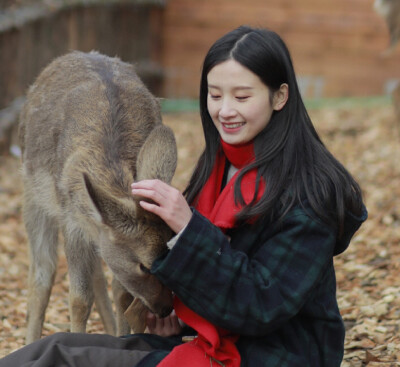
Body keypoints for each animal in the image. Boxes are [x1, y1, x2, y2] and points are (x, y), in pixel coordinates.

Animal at [18, 51, 176, 344]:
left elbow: (122, 294)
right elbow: (79, 299)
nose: (165, 308)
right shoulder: (72, 222)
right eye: (144, 266)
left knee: (98, 276)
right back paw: (30, 341)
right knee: (43, 271)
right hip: (33, 197)